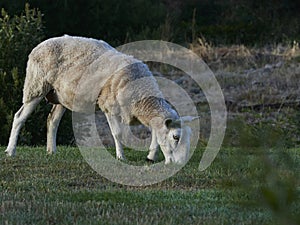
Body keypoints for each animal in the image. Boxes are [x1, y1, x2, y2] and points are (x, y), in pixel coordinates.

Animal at [6, 36, 197, 164]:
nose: (180, 164)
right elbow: (118, 133)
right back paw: (10, 150)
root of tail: (39, 45)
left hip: (61, 95)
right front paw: (121, 157)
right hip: (36, 86)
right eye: (176, 137)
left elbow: (155, 134)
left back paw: (51, 151)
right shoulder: (109, 106)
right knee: (19, 117)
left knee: (52, 120)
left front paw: (150, 156)